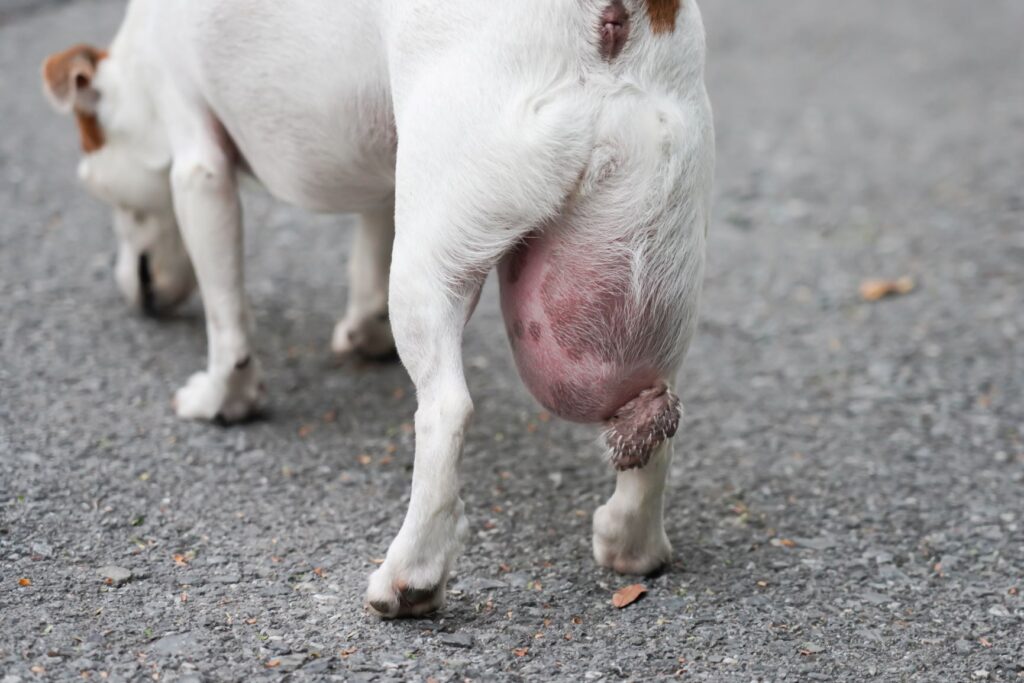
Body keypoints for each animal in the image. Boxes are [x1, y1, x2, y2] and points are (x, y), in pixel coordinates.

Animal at [44, 0, 716, 618]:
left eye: (92, 177)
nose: (129, 290)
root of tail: (615, 17)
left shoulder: (198, 164)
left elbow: (227, 317)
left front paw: (223, 400)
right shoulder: (387, 168)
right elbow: (369, 241)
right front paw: (363, 335)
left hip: (430, 267)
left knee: (446, 412)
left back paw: (410, 577)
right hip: (647, 283)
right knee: (654, 410)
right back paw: (631, 544)